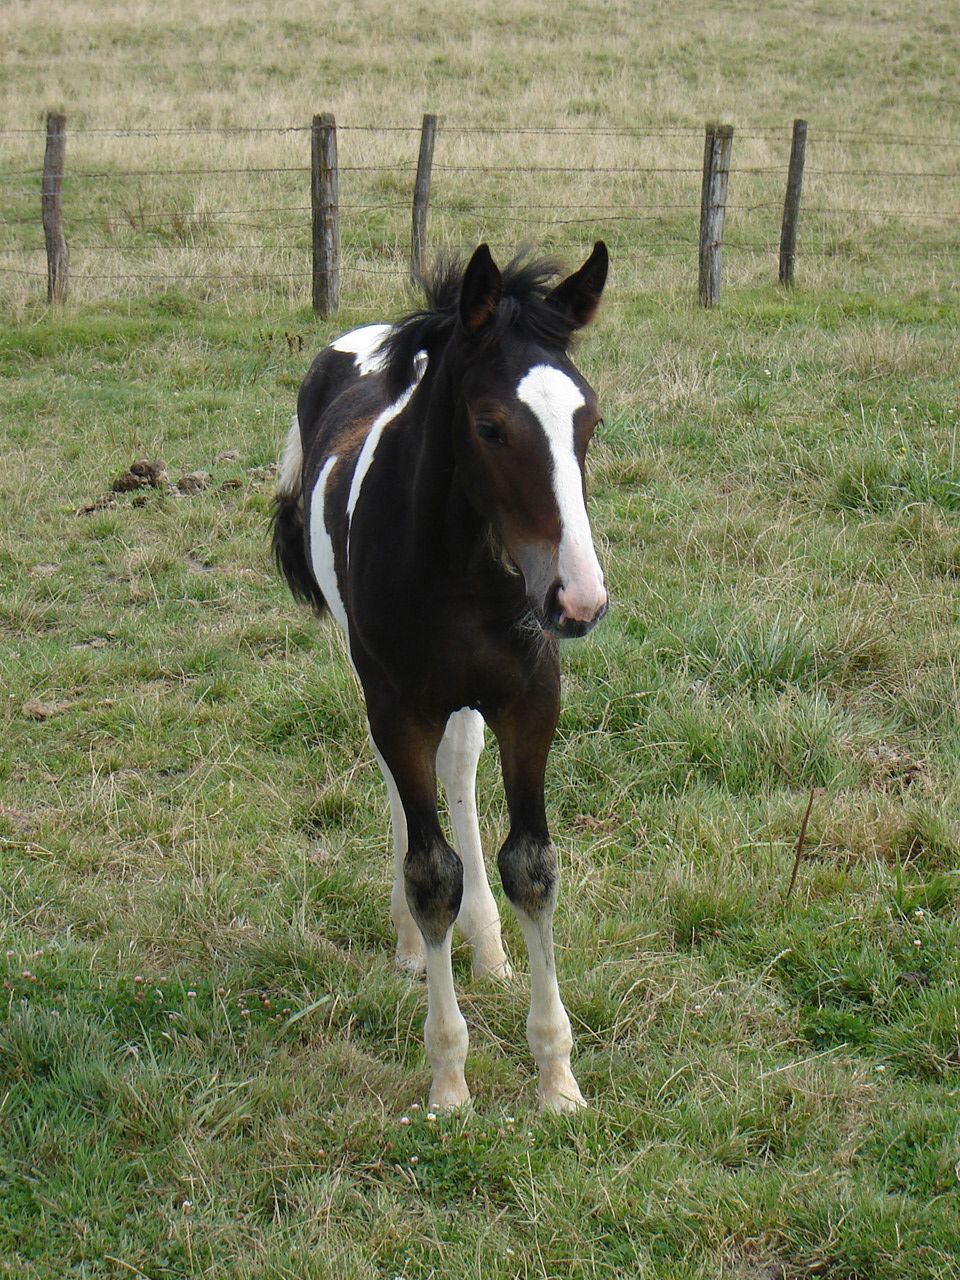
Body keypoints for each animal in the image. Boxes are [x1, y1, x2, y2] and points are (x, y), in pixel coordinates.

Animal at [273, 241, 611, 1111]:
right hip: (384, 683)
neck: (462, 568)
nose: (578, 600)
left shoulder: (530, 701)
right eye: (490, 426)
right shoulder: (399, 703)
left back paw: (486, 948)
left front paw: (558, 1079)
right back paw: (409, 945)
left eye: (589, 419)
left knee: (457, 769)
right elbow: (430, 872)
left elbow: (532, 865)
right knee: (401, 783)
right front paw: (450, 1082)